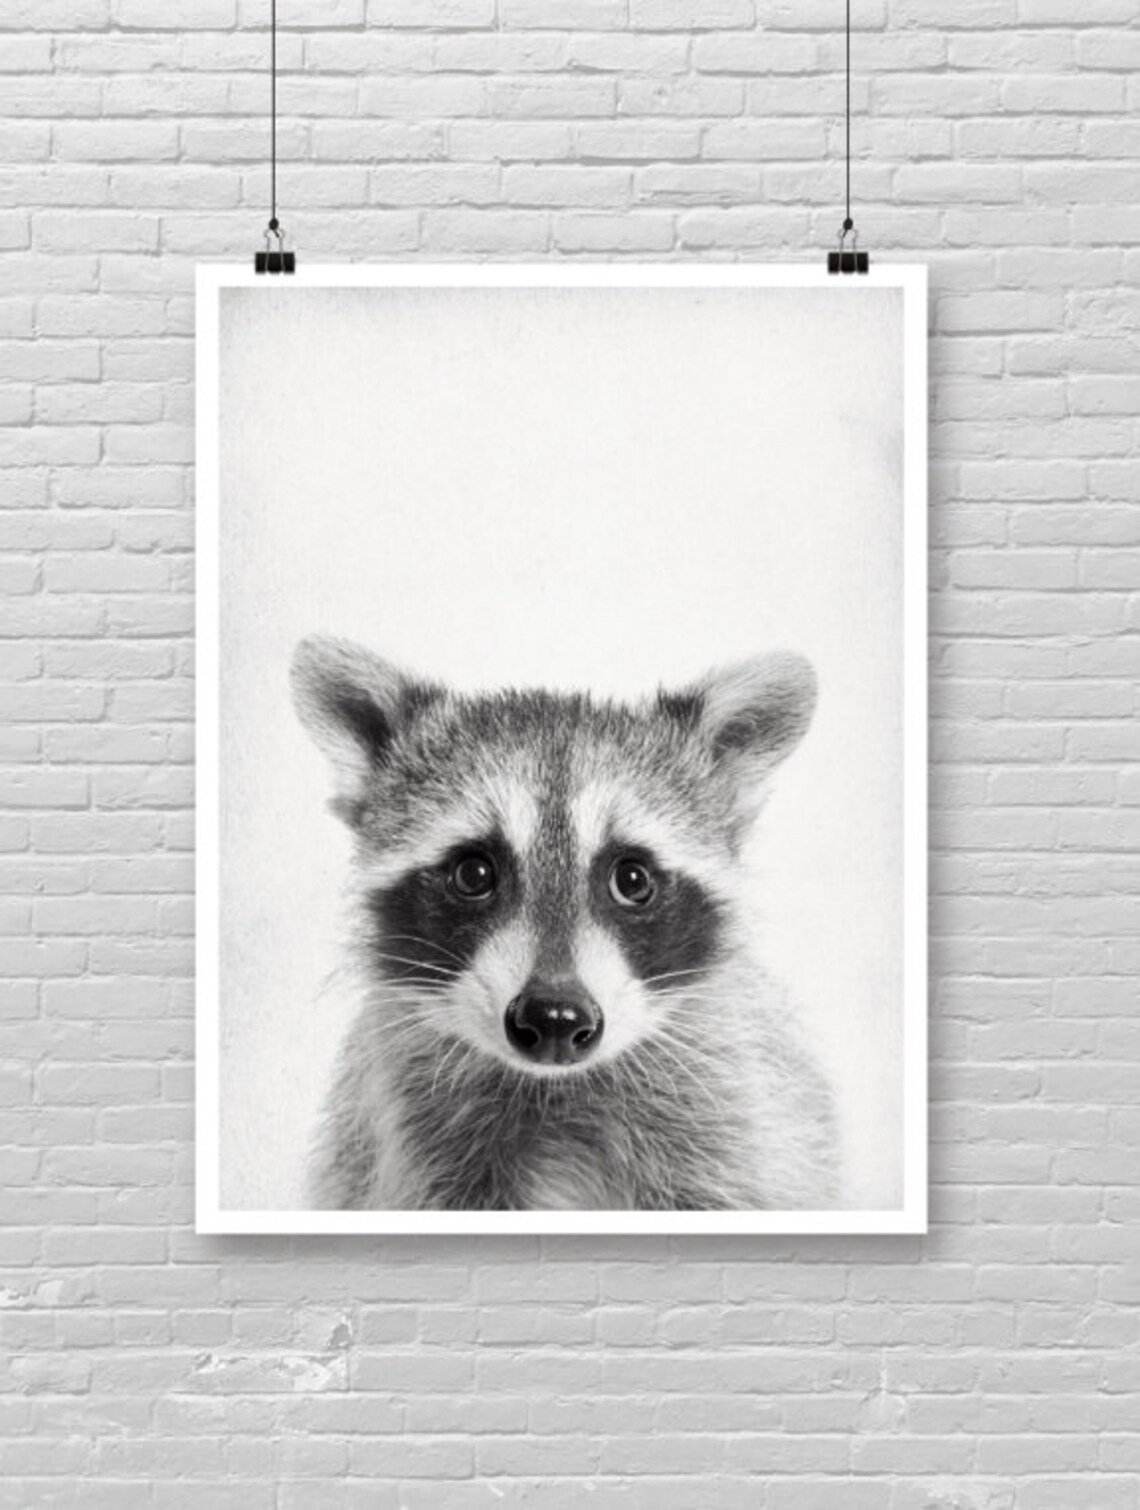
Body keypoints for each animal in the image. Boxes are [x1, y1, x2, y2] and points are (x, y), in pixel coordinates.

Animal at [291, 636, 839, 1212]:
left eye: (632, 878)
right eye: (474, 873)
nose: (555, 1017)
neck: (557, 1086)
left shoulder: (733, 1118)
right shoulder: (416, 1146)